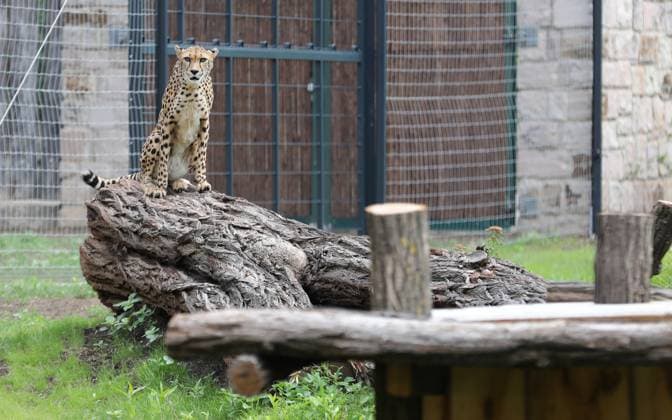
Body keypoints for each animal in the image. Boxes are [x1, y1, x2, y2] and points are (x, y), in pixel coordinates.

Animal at [82, 45, 218, 198]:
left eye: (203, 59)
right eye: (187, 59)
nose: (194, 71)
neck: (192, 88)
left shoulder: (204, 122)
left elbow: (202, 155)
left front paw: (202, 182)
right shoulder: (168, 122)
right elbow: (164, 158)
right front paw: (160, 187)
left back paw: (178, 182)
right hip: (156, 137)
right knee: (145, 176)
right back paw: (152, 185)